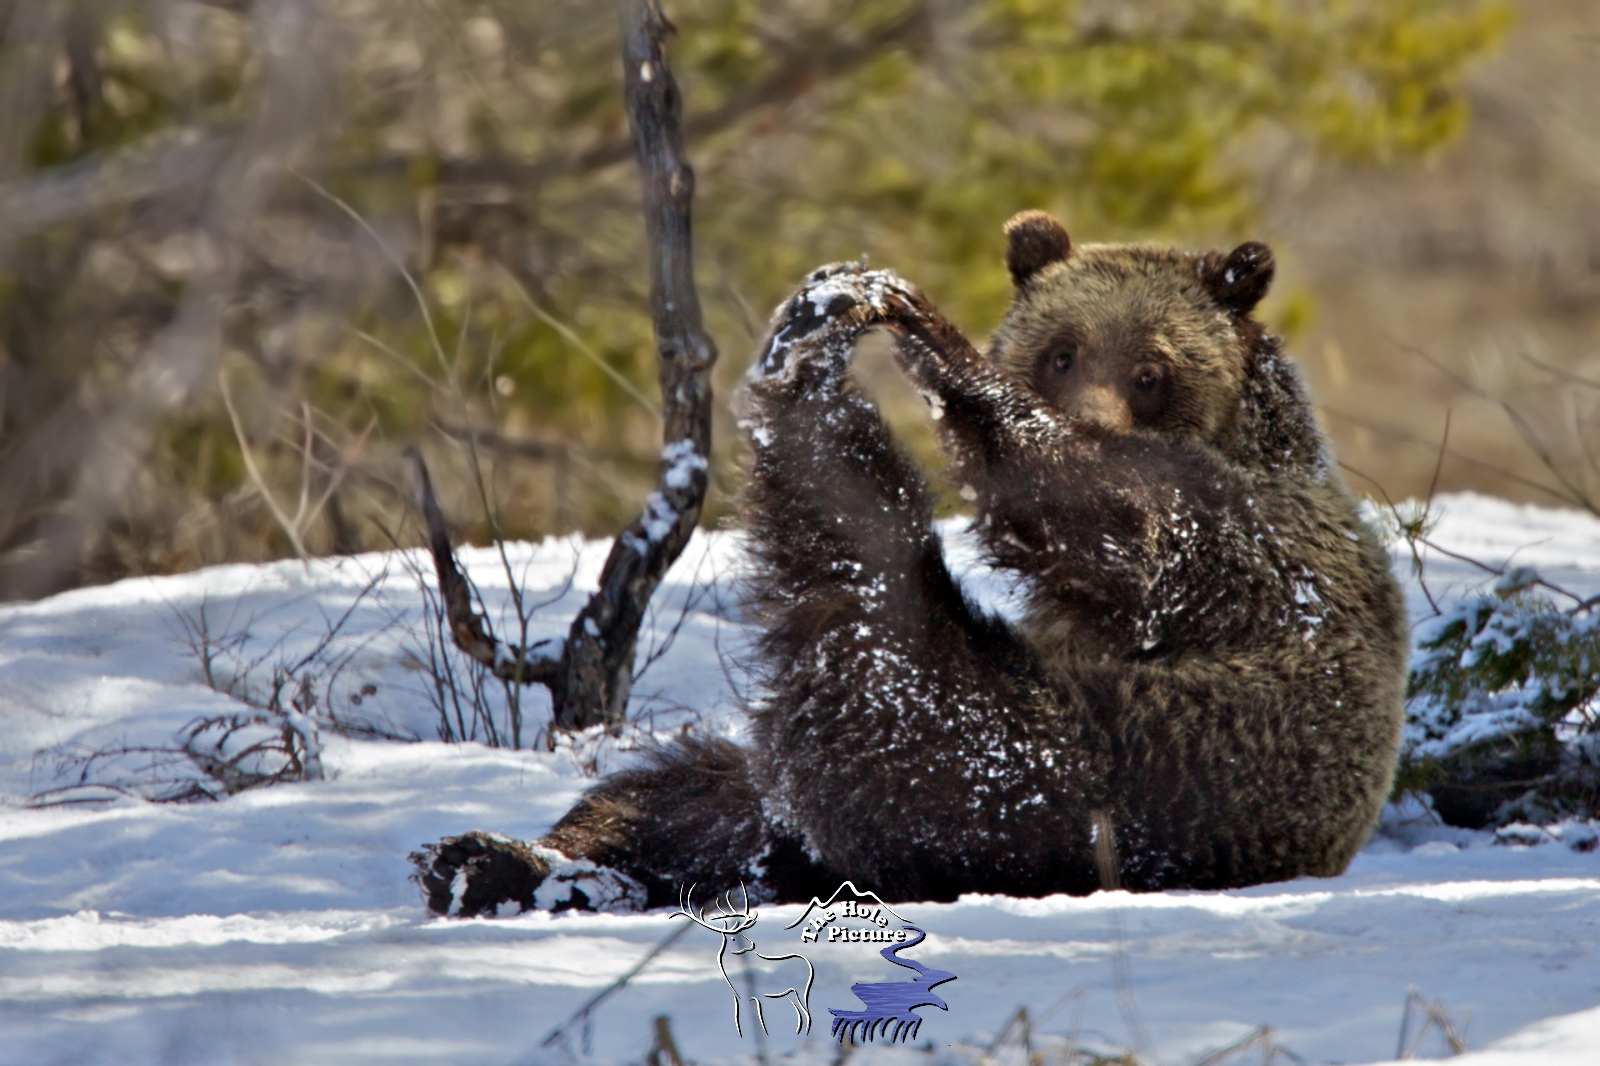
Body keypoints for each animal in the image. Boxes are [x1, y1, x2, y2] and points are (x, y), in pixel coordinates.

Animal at [410, 211, 1409, 915]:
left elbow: (1101, 510)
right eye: (1063, 351)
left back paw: (814, 377)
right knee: (684, 801)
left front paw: (922, 324)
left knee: (880, 637)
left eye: (1151, 369)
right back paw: (495, 863)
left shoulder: (1241, 549)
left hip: (1090, 775)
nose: (1091, 412)